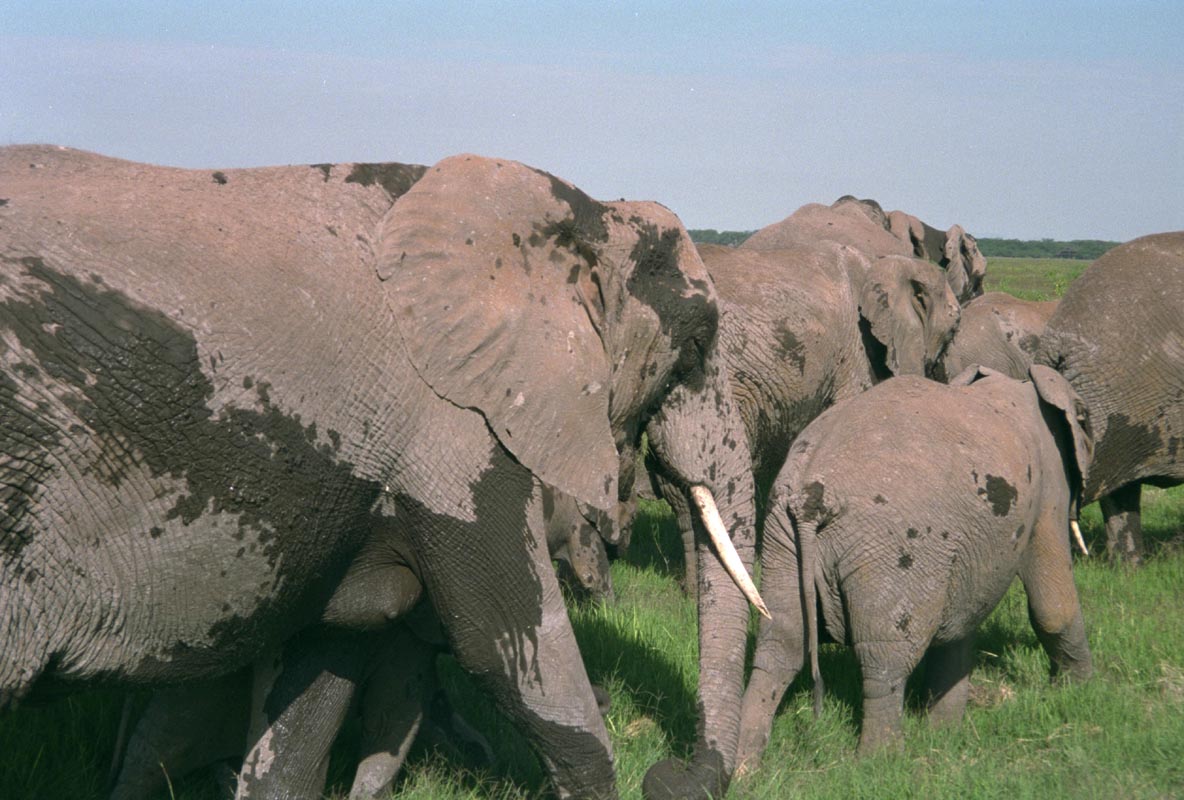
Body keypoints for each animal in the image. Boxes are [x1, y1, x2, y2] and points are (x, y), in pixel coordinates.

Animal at [0, 146, 762, 800]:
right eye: (697, 345)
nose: (670, 772)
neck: (572, 216)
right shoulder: (453, 428)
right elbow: (510, 649)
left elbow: (319, 668)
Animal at [738, 364, 1089, 766]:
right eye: (1085, 419)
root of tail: (812, 496)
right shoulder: (1049, 479)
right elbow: (1053, 605)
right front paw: (1079, 692)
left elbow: (960, 623)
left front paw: (943, 730)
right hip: (893, 551)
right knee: (885, 656)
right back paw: (881, 760)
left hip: (782, 536)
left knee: (780, 644)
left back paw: (744, 765)